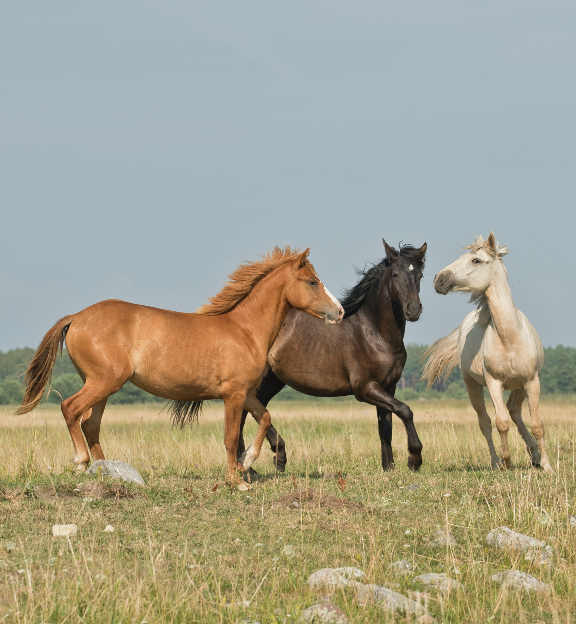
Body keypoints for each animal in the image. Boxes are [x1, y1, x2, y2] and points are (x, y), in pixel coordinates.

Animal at [16, 246, 342, 486]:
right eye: (312, 281)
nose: (339, 312)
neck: (245, 330)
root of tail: (76, 317)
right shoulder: (233, 395)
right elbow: (230, 437)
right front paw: (236, 480)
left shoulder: (245, 393)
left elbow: (264, 417)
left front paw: (248, 461)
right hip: (103, 382)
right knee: (71, 409)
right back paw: (82, 463)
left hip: (102, 386)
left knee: (90, 423)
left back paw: (106, 470)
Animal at [235, 240, 428, 472]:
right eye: (395, 274)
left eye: (419, 275)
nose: (413, 310)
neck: (375, 333)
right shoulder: (365, 388)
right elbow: (405, 410)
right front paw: (414, 459)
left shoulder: (388, 387)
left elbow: (386, 427)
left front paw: (389, 467)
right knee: (244, 412)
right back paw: (252, 463)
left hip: (273, 380)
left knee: (256, 410)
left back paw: (268, 460)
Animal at [420, 232, 552, 470]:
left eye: (476, 260)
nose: (438, 279)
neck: (509, 339)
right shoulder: (494, 383)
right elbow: (501, 423)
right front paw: (507, 462)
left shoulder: (532, 381)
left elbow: (537, 424)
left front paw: (547, 465)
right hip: (473, 385)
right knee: (486, 422)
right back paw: (496, 461)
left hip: (520, 386)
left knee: (514, 410)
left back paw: (534, 455)